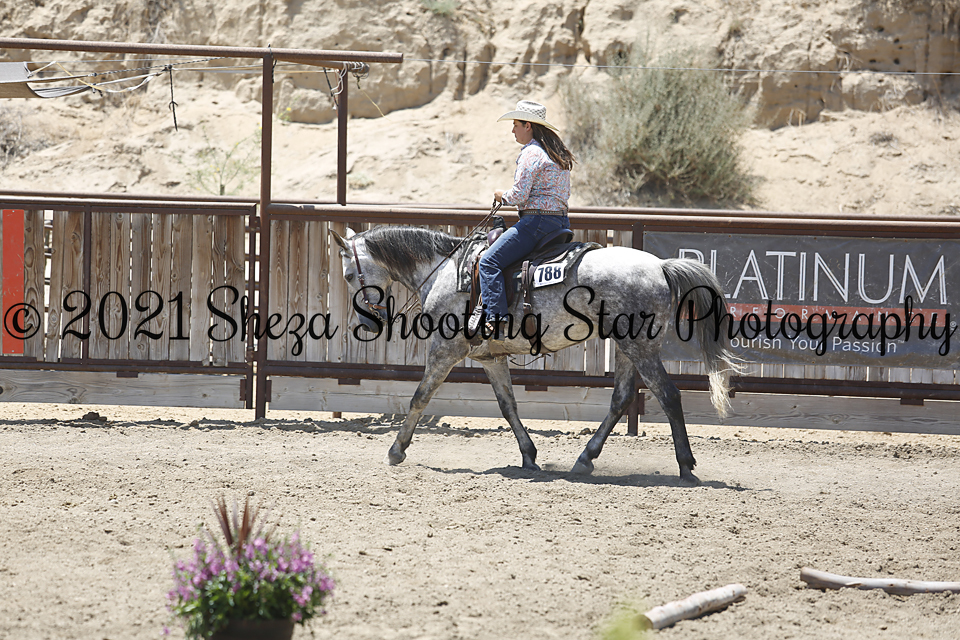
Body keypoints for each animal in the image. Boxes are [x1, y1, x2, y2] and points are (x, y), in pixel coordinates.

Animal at [331, 224, 738, 485]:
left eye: (349, 275)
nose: (367, 323)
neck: (446, 271)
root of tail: (660, 265)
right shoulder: (491, 359)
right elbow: (508, 405)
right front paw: (529, 456)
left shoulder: (445, 350)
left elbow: (419, 397)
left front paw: (396, 450)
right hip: (628, 349)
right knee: (622, 399)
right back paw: (584, 459)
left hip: (640, 348)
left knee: (669, 395)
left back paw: (685, 466)